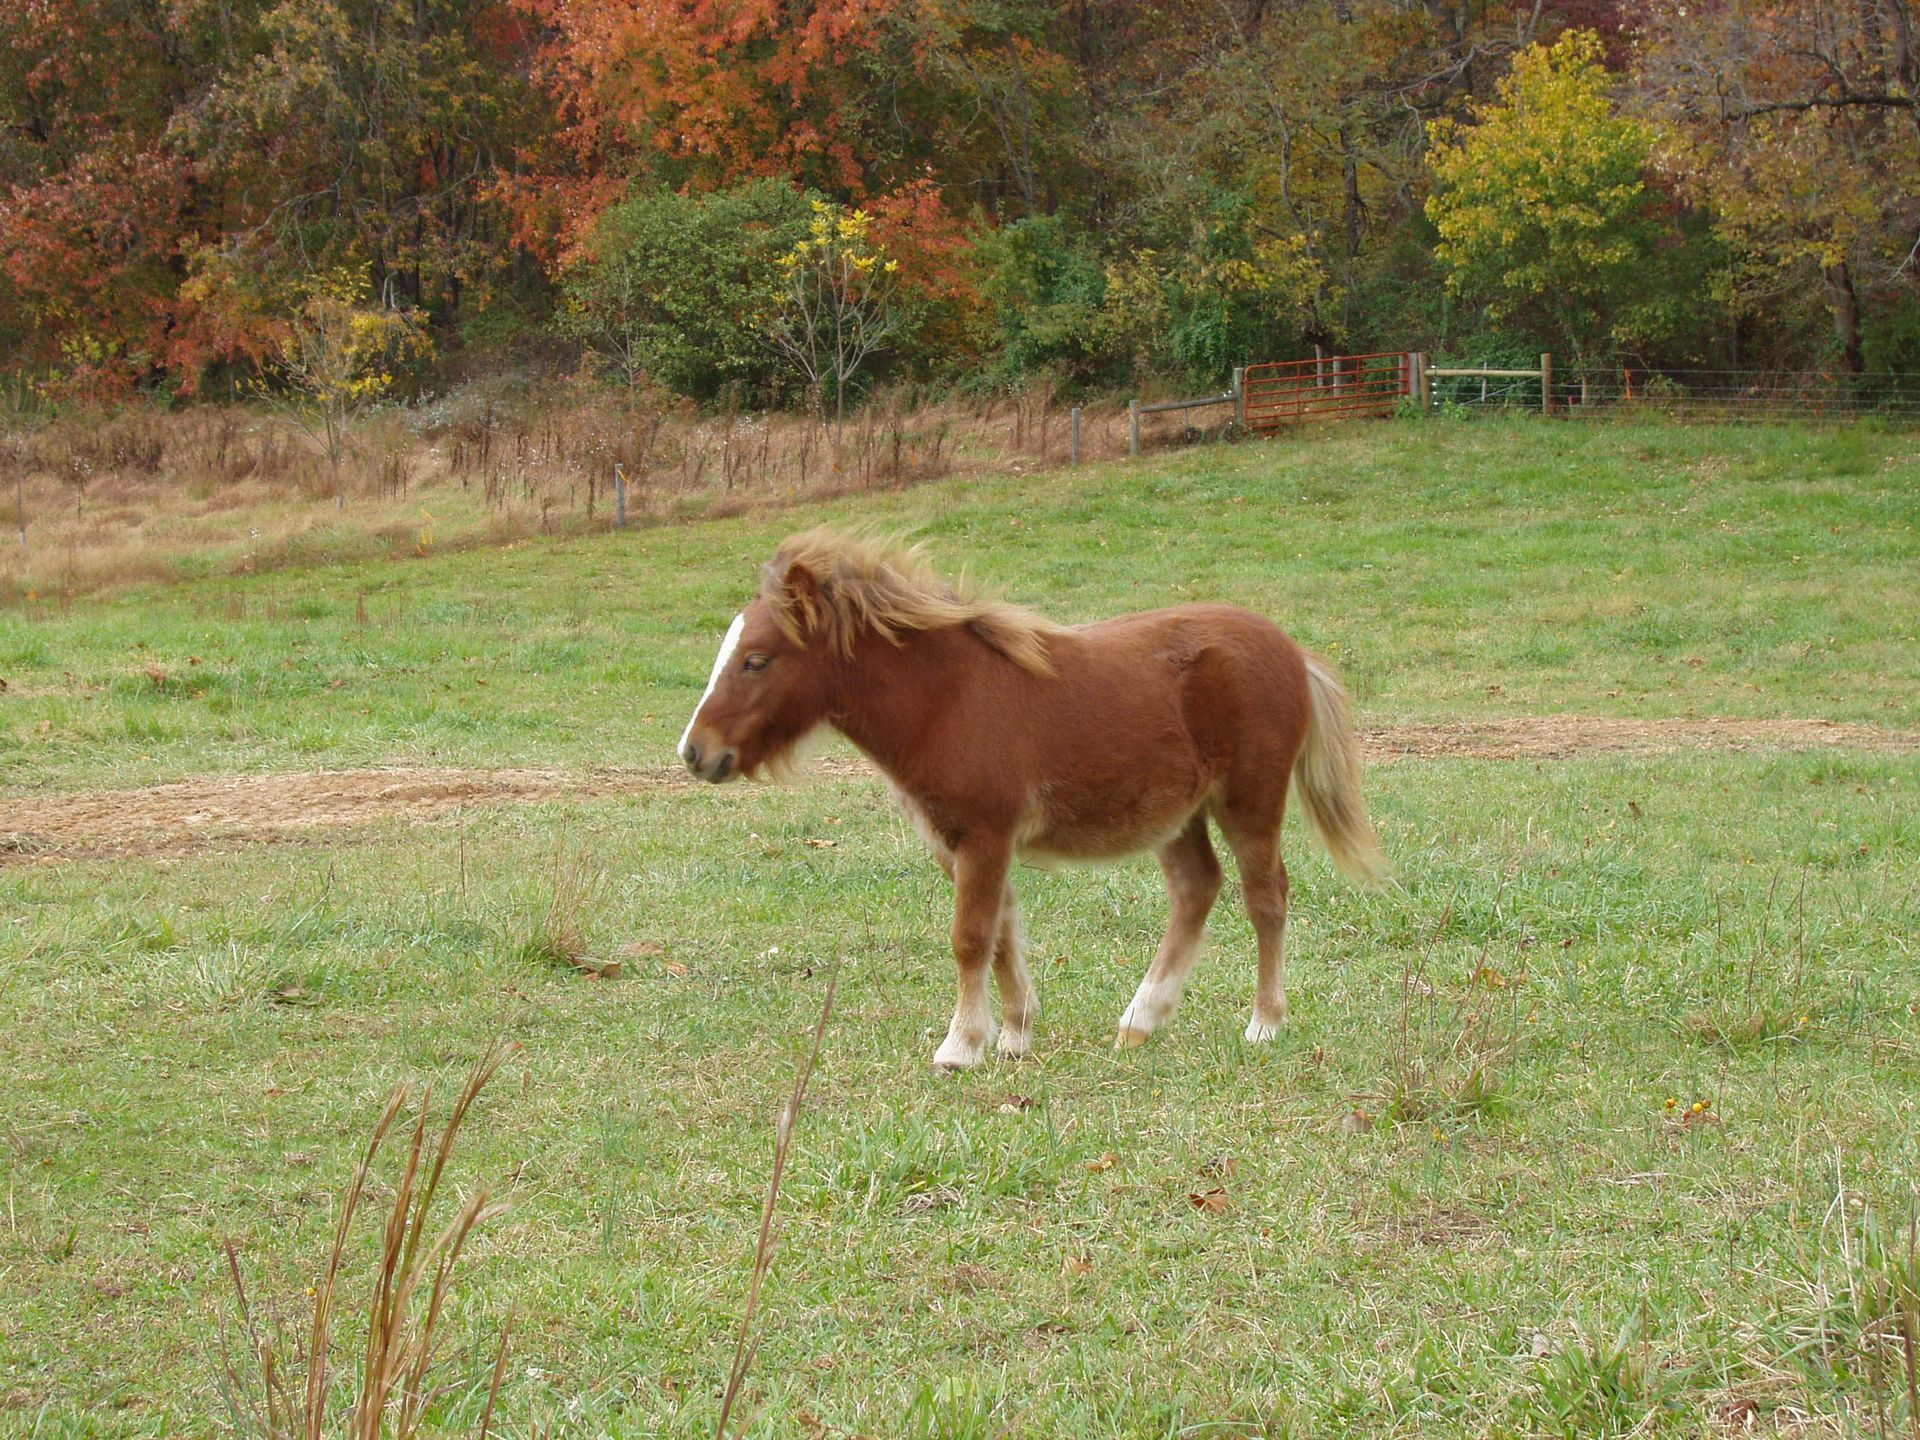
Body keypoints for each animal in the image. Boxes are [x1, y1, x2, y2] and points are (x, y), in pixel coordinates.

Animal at [678, 529, 1386, 1069]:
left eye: (757, 660)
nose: (694, 751)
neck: (946, 700)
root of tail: (1292, 650)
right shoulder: (956, 843)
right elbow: (999, 934)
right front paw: (1014, 1035)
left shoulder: (986, 835)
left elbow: (969, 937)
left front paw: (961, 1047)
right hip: (1175, 813)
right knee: (1196, 888)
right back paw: (1139, 1020)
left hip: (1250, 801)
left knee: (1265, 897)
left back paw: (1264, 1023)